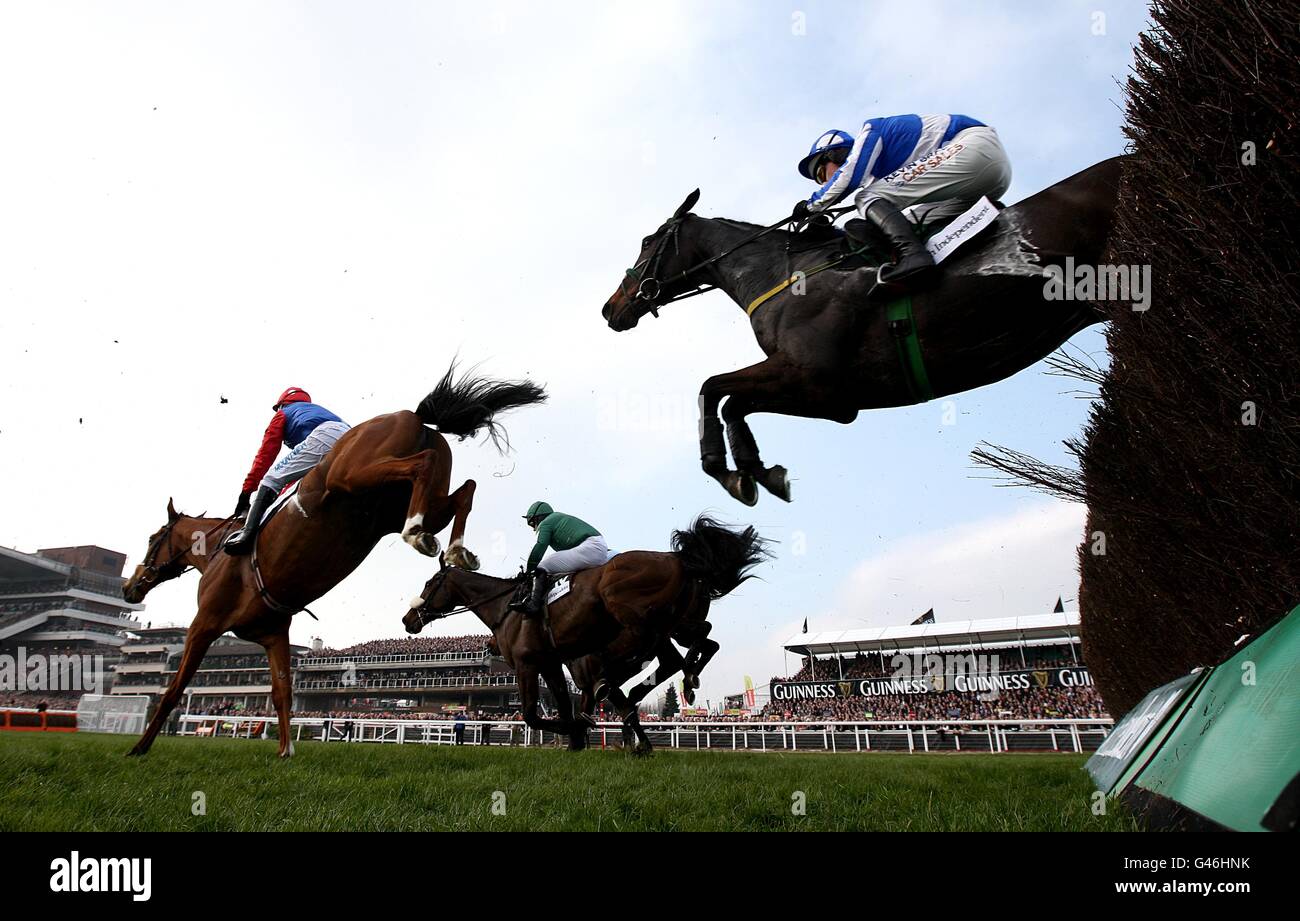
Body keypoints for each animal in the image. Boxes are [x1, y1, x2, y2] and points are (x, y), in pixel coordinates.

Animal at [122, 364, 543, 754]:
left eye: (152, 539)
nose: (131, 587)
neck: (217, 554)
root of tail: (412, 415)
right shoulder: (273, 634)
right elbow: (282, 694)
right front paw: (285, 750)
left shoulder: (204, 622)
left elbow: (175, 689)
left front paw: (139, 748)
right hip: (403, 499)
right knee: (465, 490)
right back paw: (453, 549)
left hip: (352, 475)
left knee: (422, 464)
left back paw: (417, 533)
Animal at [405, 515, 764, 754]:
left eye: (429, 583)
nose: (409, 619)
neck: (507, 606)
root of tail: (675, 557)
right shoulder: (551, 663)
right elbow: (569, 705)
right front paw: (581, 740)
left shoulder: (526, 664)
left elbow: (535, 714)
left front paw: (579, 730)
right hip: (672, 624)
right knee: (699, 642)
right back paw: (685, 680)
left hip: (633, 613)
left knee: (653, 650)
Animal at [603, 156, 1123, 504]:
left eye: (648, 241)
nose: (611, 309)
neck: (783, 273)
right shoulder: (819, 390)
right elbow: (732, 401)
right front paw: (755, 471)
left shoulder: (822, 386)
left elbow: (714, 389)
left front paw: (729, 472)